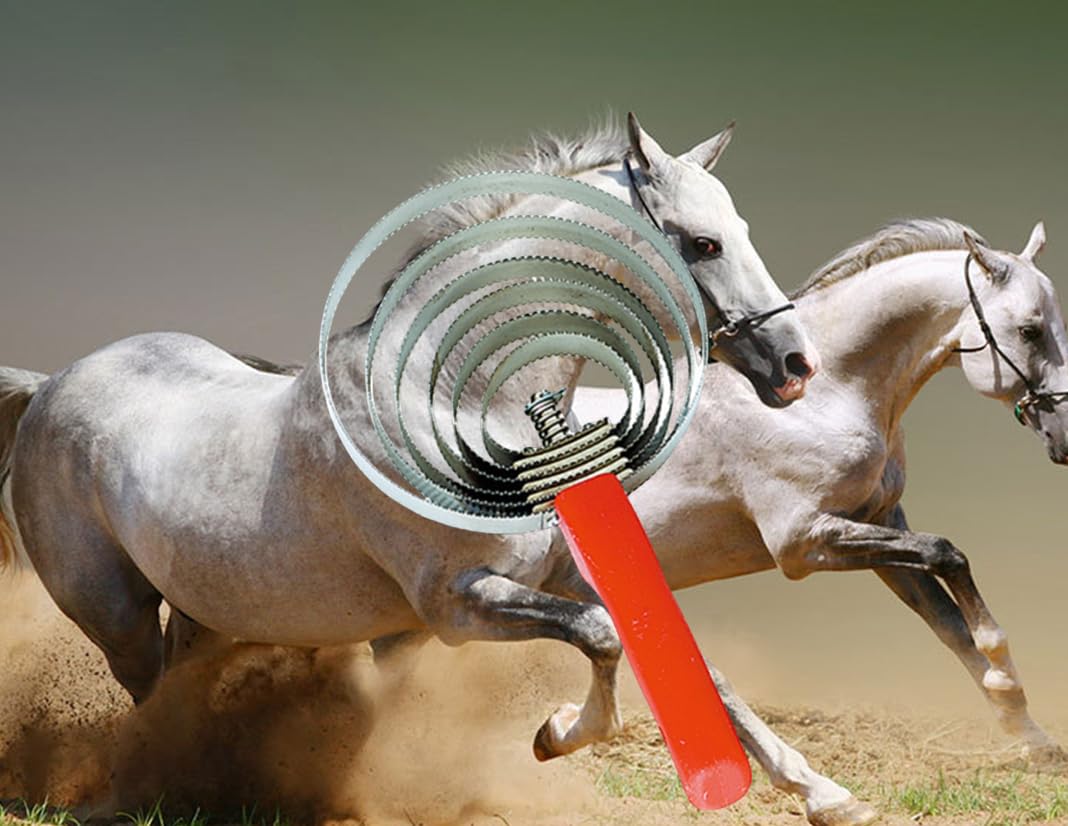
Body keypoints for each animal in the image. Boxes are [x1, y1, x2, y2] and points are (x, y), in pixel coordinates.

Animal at [0, 115, 817, 768]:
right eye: (703, 244)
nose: (795, 363)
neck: (457, 395)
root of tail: (49, 385)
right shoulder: (456, 605)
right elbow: (601, 634)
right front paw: (557, 735)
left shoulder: (516, 591)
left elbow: (647, 642)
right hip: (117, 617)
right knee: (145, 693)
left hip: (204, 610)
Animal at [566, 219, 1068, 825]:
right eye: (1030, 331)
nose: (1066, 435)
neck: (824, 397)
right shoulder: (804, 543)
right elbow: (947, 553)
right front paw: (1003, 669)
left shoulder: (880, 526)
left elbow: (948, 620)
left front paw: (1031, 734)